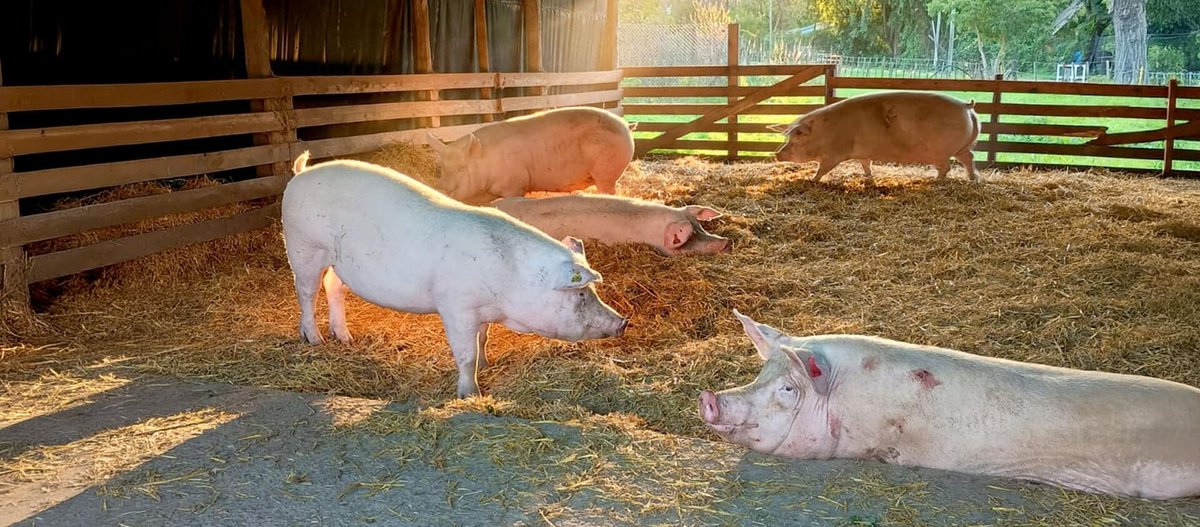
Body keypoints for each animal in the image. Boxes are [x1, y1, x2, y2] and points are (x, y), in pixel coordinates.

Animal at [281, 151, 628, 398]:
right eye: (580, 293)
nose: (623, 321)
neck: (511, 280)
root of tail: (301, 173)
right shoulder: (456, 307)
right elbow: (465, 354)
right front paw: (470, 394)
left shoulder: (483, 310)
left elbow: (483, 338)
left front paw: (488, 363)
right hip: (303, 246)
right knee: (306, 291)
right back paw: (314, 339)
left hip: (340, 262)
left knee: (333, 287)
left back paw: (345, 338)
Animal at [426, 106, 637, 205]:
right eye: (441, 168)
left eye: (462, 168)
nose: (441, 187)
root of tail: (626, 126)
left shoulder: (514, 185)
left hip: (606, 172)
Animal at [767, 91, 980, 184]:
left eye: (796, 138)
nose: (777, 154)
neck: (824, 133)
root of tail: (965, 106)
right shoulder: (862, 153)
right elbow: (865, 164)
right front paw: (868, 177)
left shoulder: (833, 155)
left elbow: (822, 169)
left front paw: (812, 180)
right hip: (962, 147)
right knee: (969, 158)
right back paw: (972, 179)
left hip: (942, 152)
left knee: (947, 167)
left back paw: (935, 181)